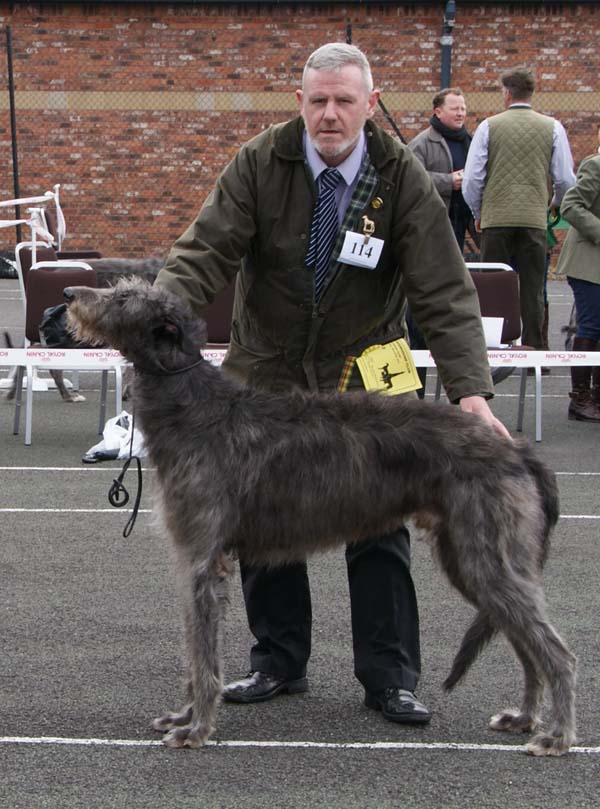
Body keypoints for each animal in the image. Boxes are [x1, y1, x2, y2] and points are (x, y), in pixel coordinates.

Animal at [62, 278, 576, 756]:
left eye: (123, 298)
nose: (68, 293)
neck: (192, 405)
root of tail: (514, 448)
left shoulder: (201, 560)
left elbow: (203, 654)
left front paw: (197, 728)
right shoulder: (196, 560)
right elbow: (195, 649)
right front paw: (184, 716)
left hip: (484, 555)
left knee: (555, 651)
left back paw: (556, 735)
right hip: (471, 557)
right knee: (524, 640)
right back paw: (524, 718)